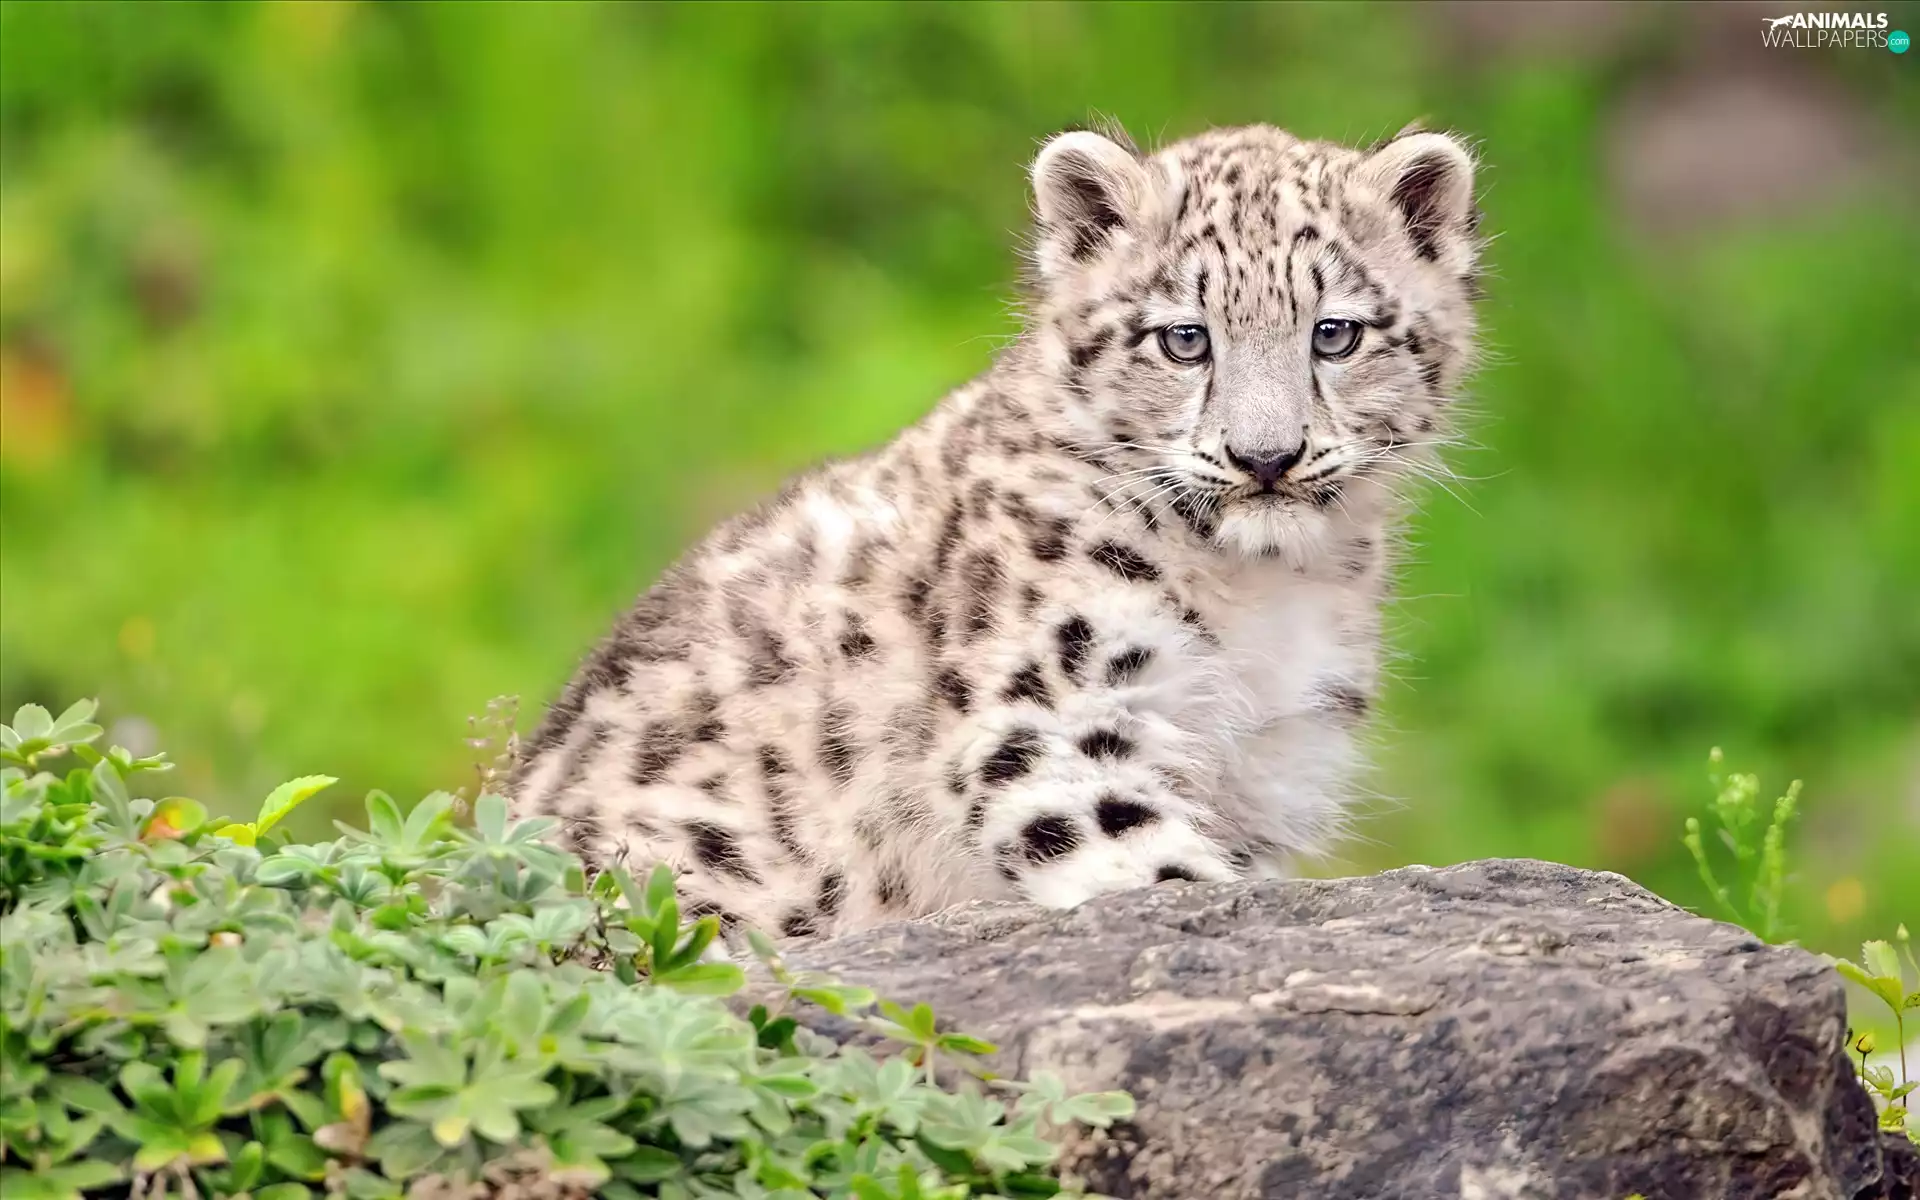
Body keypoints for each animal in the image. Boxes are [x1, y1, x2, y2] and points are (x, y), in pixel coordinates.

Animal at [510, 120, 1484, 941]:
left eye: (1335, 333)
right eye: (1183, 339)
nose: (1266, 457)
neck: (1264, 593)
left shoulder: (1273, 762)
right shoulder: (1053, 716)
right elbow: (1148, 864)